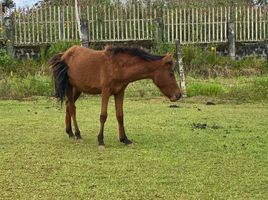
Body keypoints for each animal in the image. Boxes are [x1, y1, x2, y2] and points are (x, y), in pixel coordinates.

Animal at [49, 45, 181, 148]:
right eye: (171, 73)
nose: (178, 95)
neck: (118, 66)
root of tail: (64, 54)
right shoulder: (106, 92)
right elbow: (103, 116)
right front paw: (101, 140)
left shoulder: (119, 92)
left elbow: (120, 116)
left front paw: (125, 139)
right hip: (69, 87)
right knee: (72, 108)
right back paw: (77, 134)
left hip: (77, 89)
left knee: (68, 105)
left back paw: (70, 132)